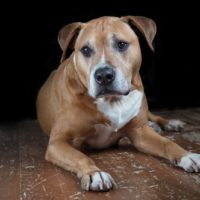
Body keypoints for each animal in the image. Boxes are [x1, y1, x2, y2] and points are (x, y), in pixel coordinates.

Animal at [36, 15, 200, 191]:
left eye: (121, 44)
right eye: (85, 50)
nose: (103, 75)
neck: (113, 100)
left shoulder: (139, 133)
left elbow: (167, 143)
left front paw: (187, 155)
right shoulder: (57, 142)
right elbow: (80, 156)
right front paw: (94, 173)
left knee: (153, 117)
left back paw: (169, 123)